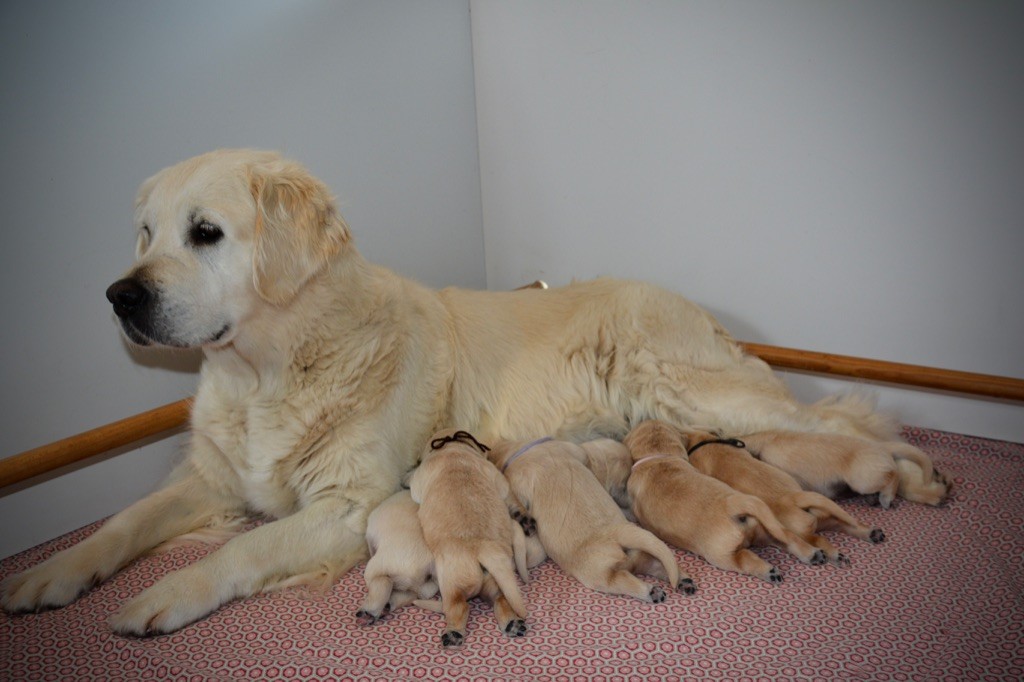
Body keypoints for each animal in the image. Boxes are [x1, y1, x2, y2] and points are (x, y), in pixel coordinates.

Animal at [356, 485, 436, 622]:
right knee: (408, 594)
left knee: (382, 584)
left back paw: (369, 612)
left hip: (375, 568)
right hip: (424, 588)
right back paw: (387, 606)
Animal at [485, 436, 688, 602]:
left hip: (599, 575)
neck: (523, 452)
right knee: (656, 563)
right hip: (640, 553)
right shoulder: (571, 450)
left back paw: (651, 592)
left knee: (626, 582)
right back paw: (683, 580)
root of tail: (615, 534)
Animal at [618, 417, 827, 581]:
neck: (659, 457)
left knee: (746, 558)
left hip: (722, 555)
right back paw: (812, 554)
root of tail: (733, 505)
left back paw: (769, 571)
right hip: (766, 526)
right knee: (787, 536)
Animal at [688, 430, 888, 561]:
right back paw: (871, 533)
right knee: (846, 524)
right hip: (827, 517)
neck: (709, 441)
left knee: (817, 539)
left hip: (800, 530)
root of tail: (794, 497)